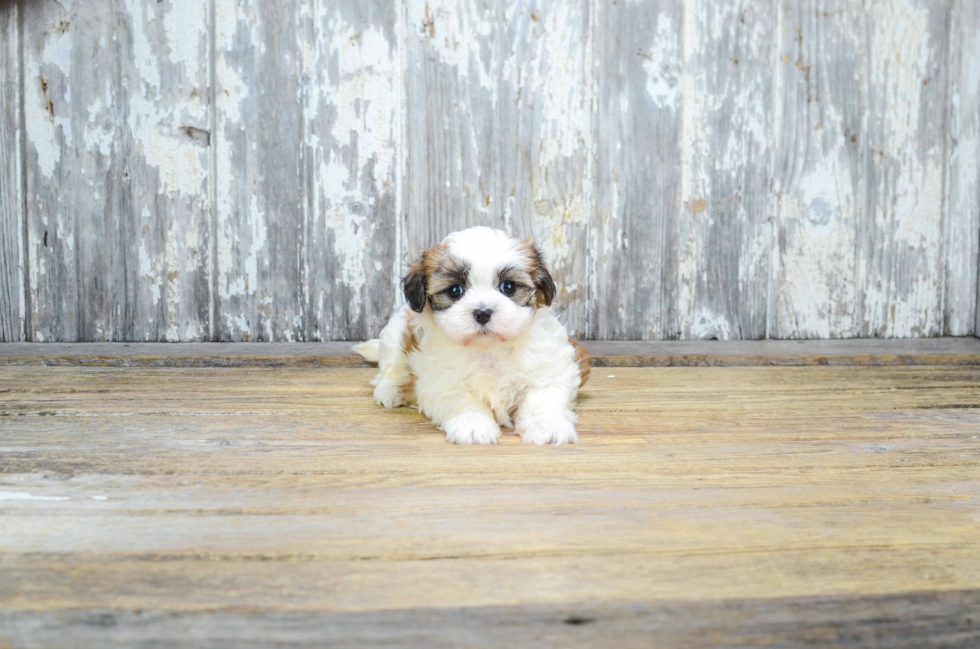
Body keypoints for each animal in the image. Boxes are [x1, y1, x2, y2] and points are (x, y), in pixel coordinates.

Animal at [350, 225, 584, 442]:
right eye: (455, 290)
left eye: (508, 287)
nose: (482, 312)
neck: (489, 349)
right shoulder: (441, 380)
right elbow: (462, 400)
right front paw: (473, 424)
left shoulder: (550, 369)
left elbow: (543, 396)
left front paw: (547, 425)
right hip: (394, 334)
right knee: (390, 369)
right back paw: (390, 391)